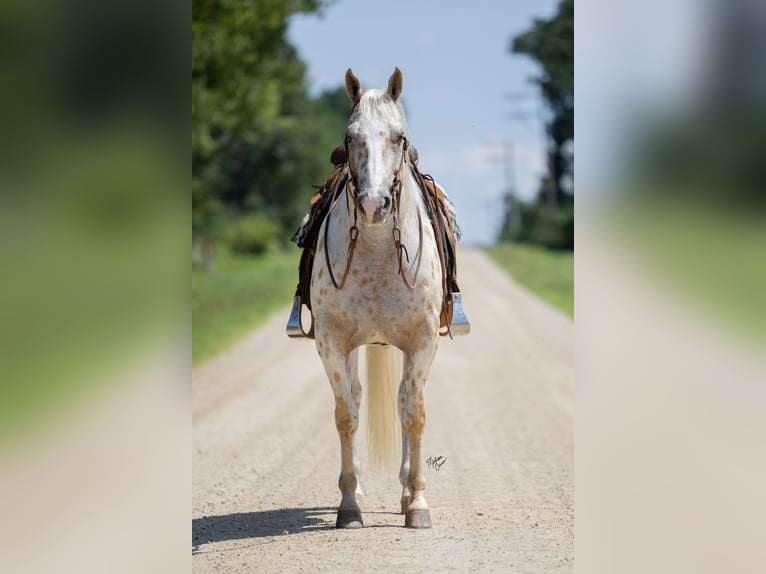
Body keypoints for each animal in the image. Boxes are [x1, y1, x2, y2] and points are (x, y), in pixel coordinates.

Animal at [309, 68, 446, 529]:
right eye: (350, 138)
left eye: (399, 137)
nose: (372, 205)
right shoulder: (331, 343)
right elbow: (346, 414)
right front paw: (349, 504)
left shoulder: (422, 340)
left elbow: (413, 414)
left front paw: (417, 504)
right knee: (357, 394)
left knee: (406, 398)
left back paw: (405, 492)